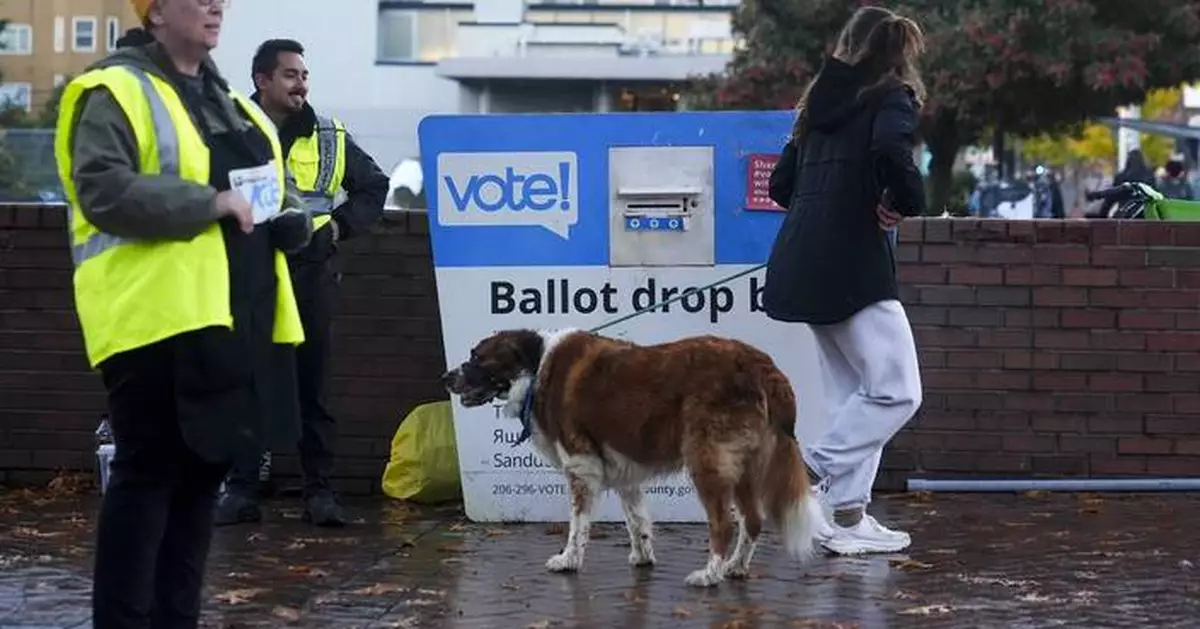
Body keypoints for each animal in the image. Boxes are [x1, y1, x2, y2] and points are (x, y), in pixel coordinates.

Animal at [441, 326, 825, 588]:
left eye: (477, 357)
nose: (446, 376)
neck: (537, 371)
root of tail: (761, 365)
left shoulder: (581, 467)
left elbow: (577, 524)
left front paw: (569, 559)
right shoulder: (624, 474)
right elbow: (636, 521)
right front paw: (642, 558)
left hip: (707, 461)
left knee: (724, 523)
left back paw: (709, 574)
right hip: (743, 465)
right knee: (753, 520)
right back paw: (736, 567)